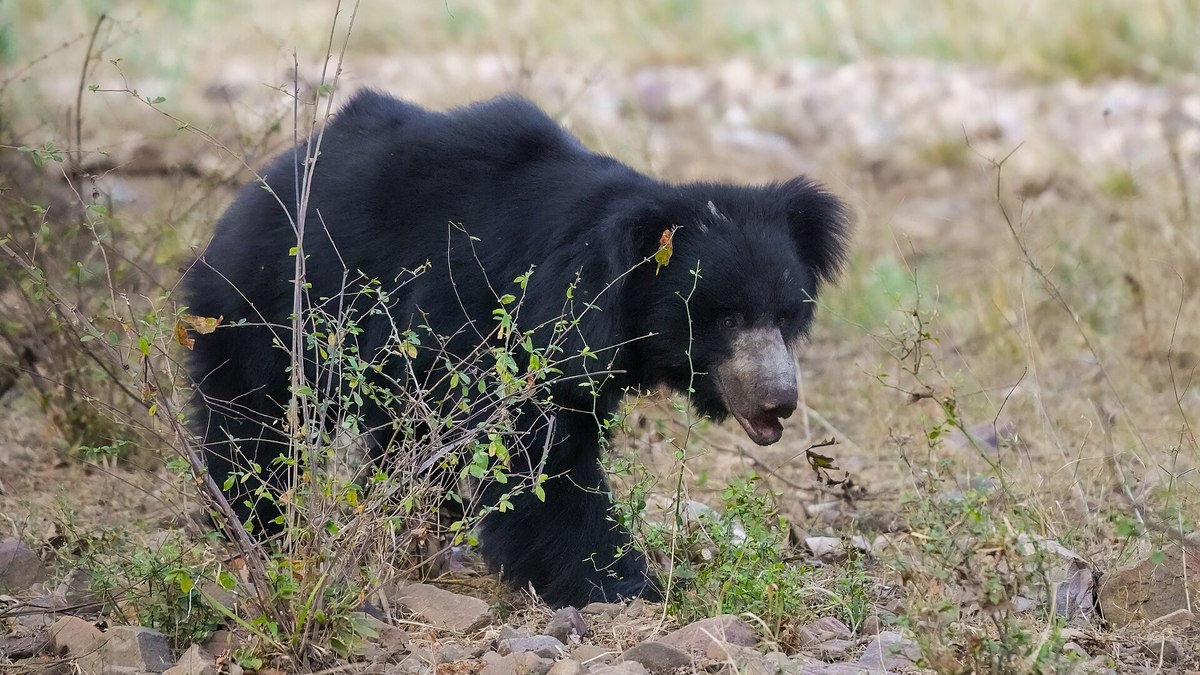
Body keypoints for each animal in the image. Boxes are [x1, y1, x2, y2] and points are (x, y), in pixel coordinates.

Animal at [184, 89, 849, 608]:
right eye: (726, 317)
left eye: (786, 315)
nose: (778, 400)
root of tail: (255, 189)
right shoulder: (498, 324)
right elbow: (535, 457)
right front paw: (621, 584)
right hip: (267, 305)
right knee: (254, 420)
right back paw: (257, 523)